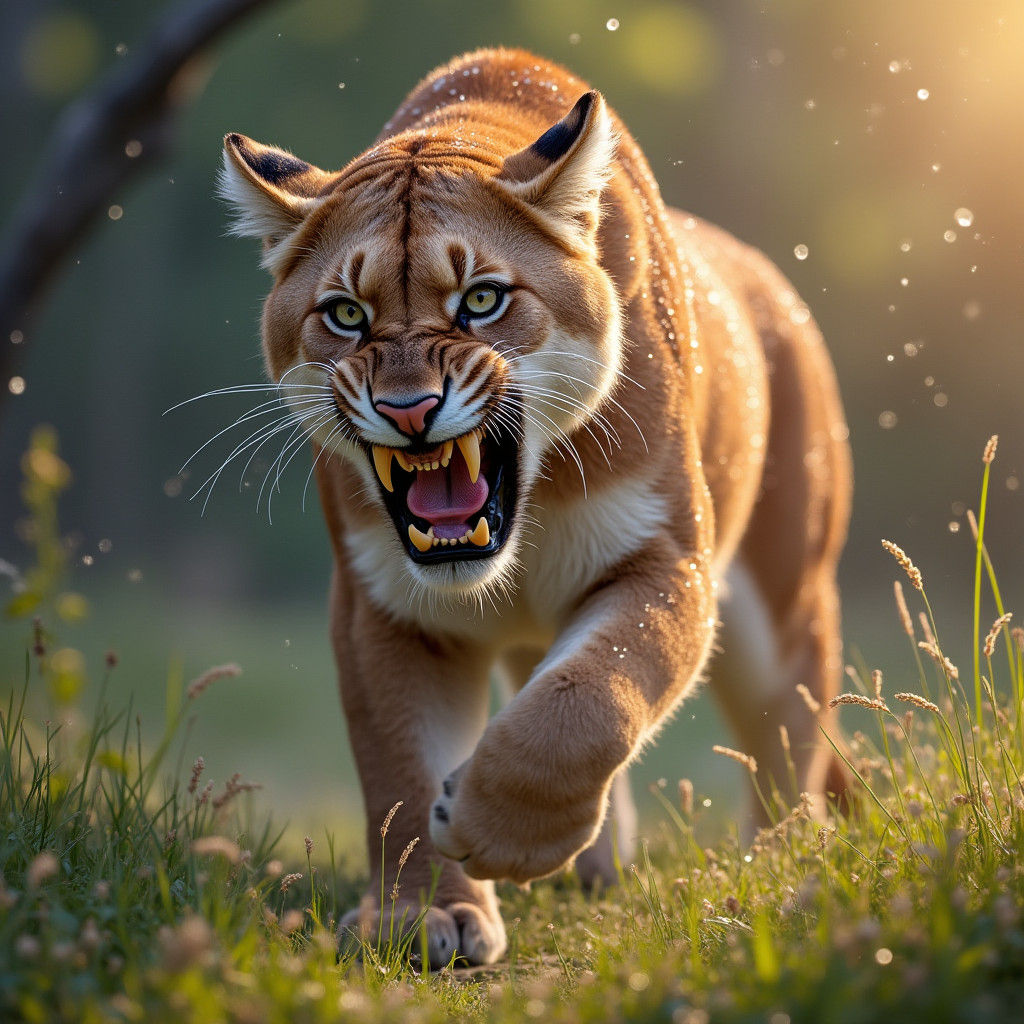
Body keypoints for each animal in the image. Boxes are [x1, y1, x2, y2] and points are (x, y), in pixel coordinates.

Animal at [218, 48, 851, 967]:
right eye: (345, 314)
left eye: (481, 300)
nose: (408, 408)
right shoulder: (384, 605)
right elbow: (398, 767)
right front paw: (425, 915)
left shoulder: (665, 560)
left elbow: (591, 698)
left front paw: (497, 834)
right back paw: (598, 866)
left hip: (784, 594)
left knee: (789, 724)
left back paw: (783, 862)